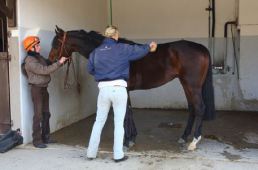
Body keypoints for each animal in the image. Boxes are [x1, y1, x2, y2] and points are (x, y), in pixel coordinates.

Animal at [49, 25, 216, 151]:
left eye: (57, 44)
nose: (50, 60)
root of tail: (201, 48)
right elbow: (128, 112)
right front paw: (131, 138)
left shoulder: (124, 89)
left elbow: (126, 114)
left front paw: (126, 141)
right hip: (186, 84)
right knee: (192, 108)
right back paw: (184, 137)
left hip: (192, 85)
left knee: (200, 108)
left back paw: (193, 142)